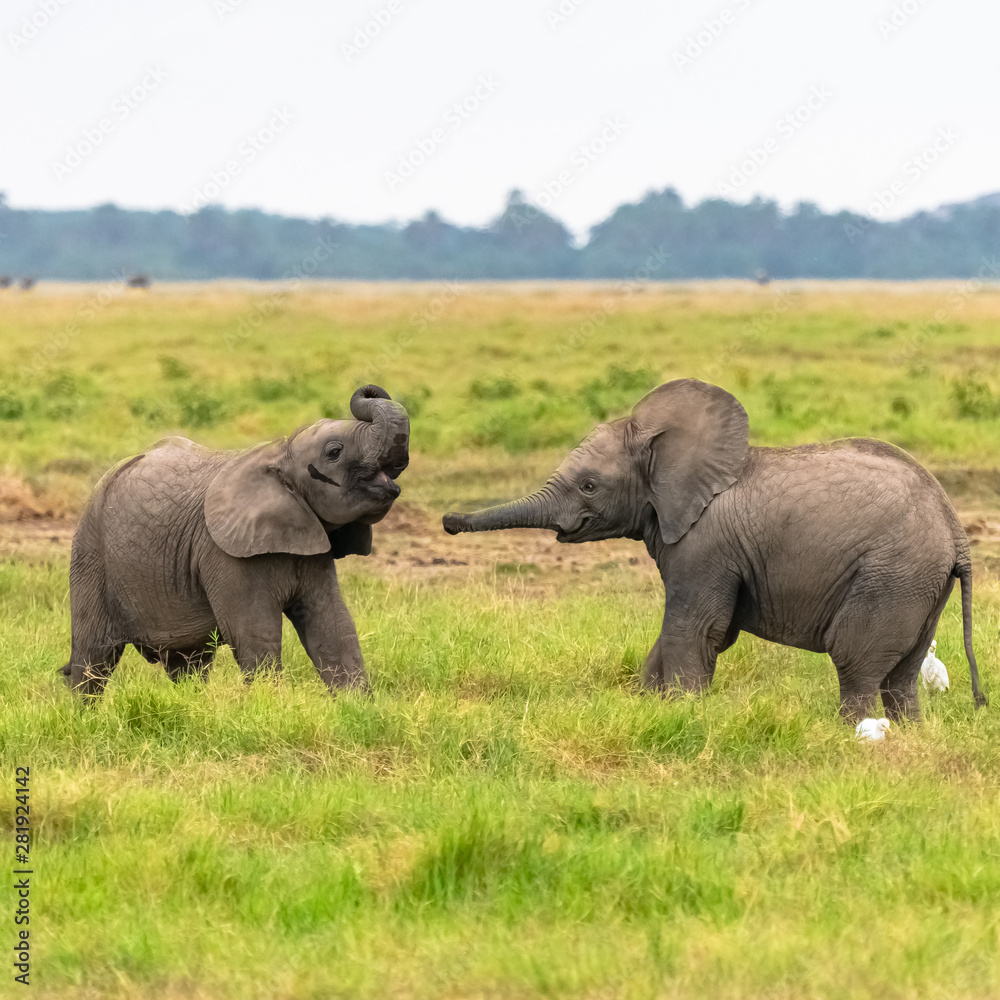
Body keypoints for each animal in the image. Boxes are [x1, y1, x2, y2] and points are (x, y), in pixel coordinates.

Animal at [64, 382, 408, 696]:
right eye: (334, 452)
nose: (368, 389)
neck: (279, 454)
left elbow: (333, 627)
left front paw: (359, 707)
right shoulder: (223, 553)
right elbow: (255, 635)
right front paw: (270, 707)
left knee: (188, 662)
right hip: (90, 554)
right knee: (93, 659)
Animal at [446, 376, 984, 720]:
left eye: (589, 486)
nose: (450, 521)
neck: (666, 449)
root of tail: (955, 530)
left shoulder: (704, 546)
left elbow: (696, 629)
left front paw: (685, 717)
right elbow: (683, 636)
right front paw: (653, 710)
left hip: (890, 576)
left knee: (856, 662)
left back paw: (849, 736)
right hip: (918, 583)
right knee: (902, 673)